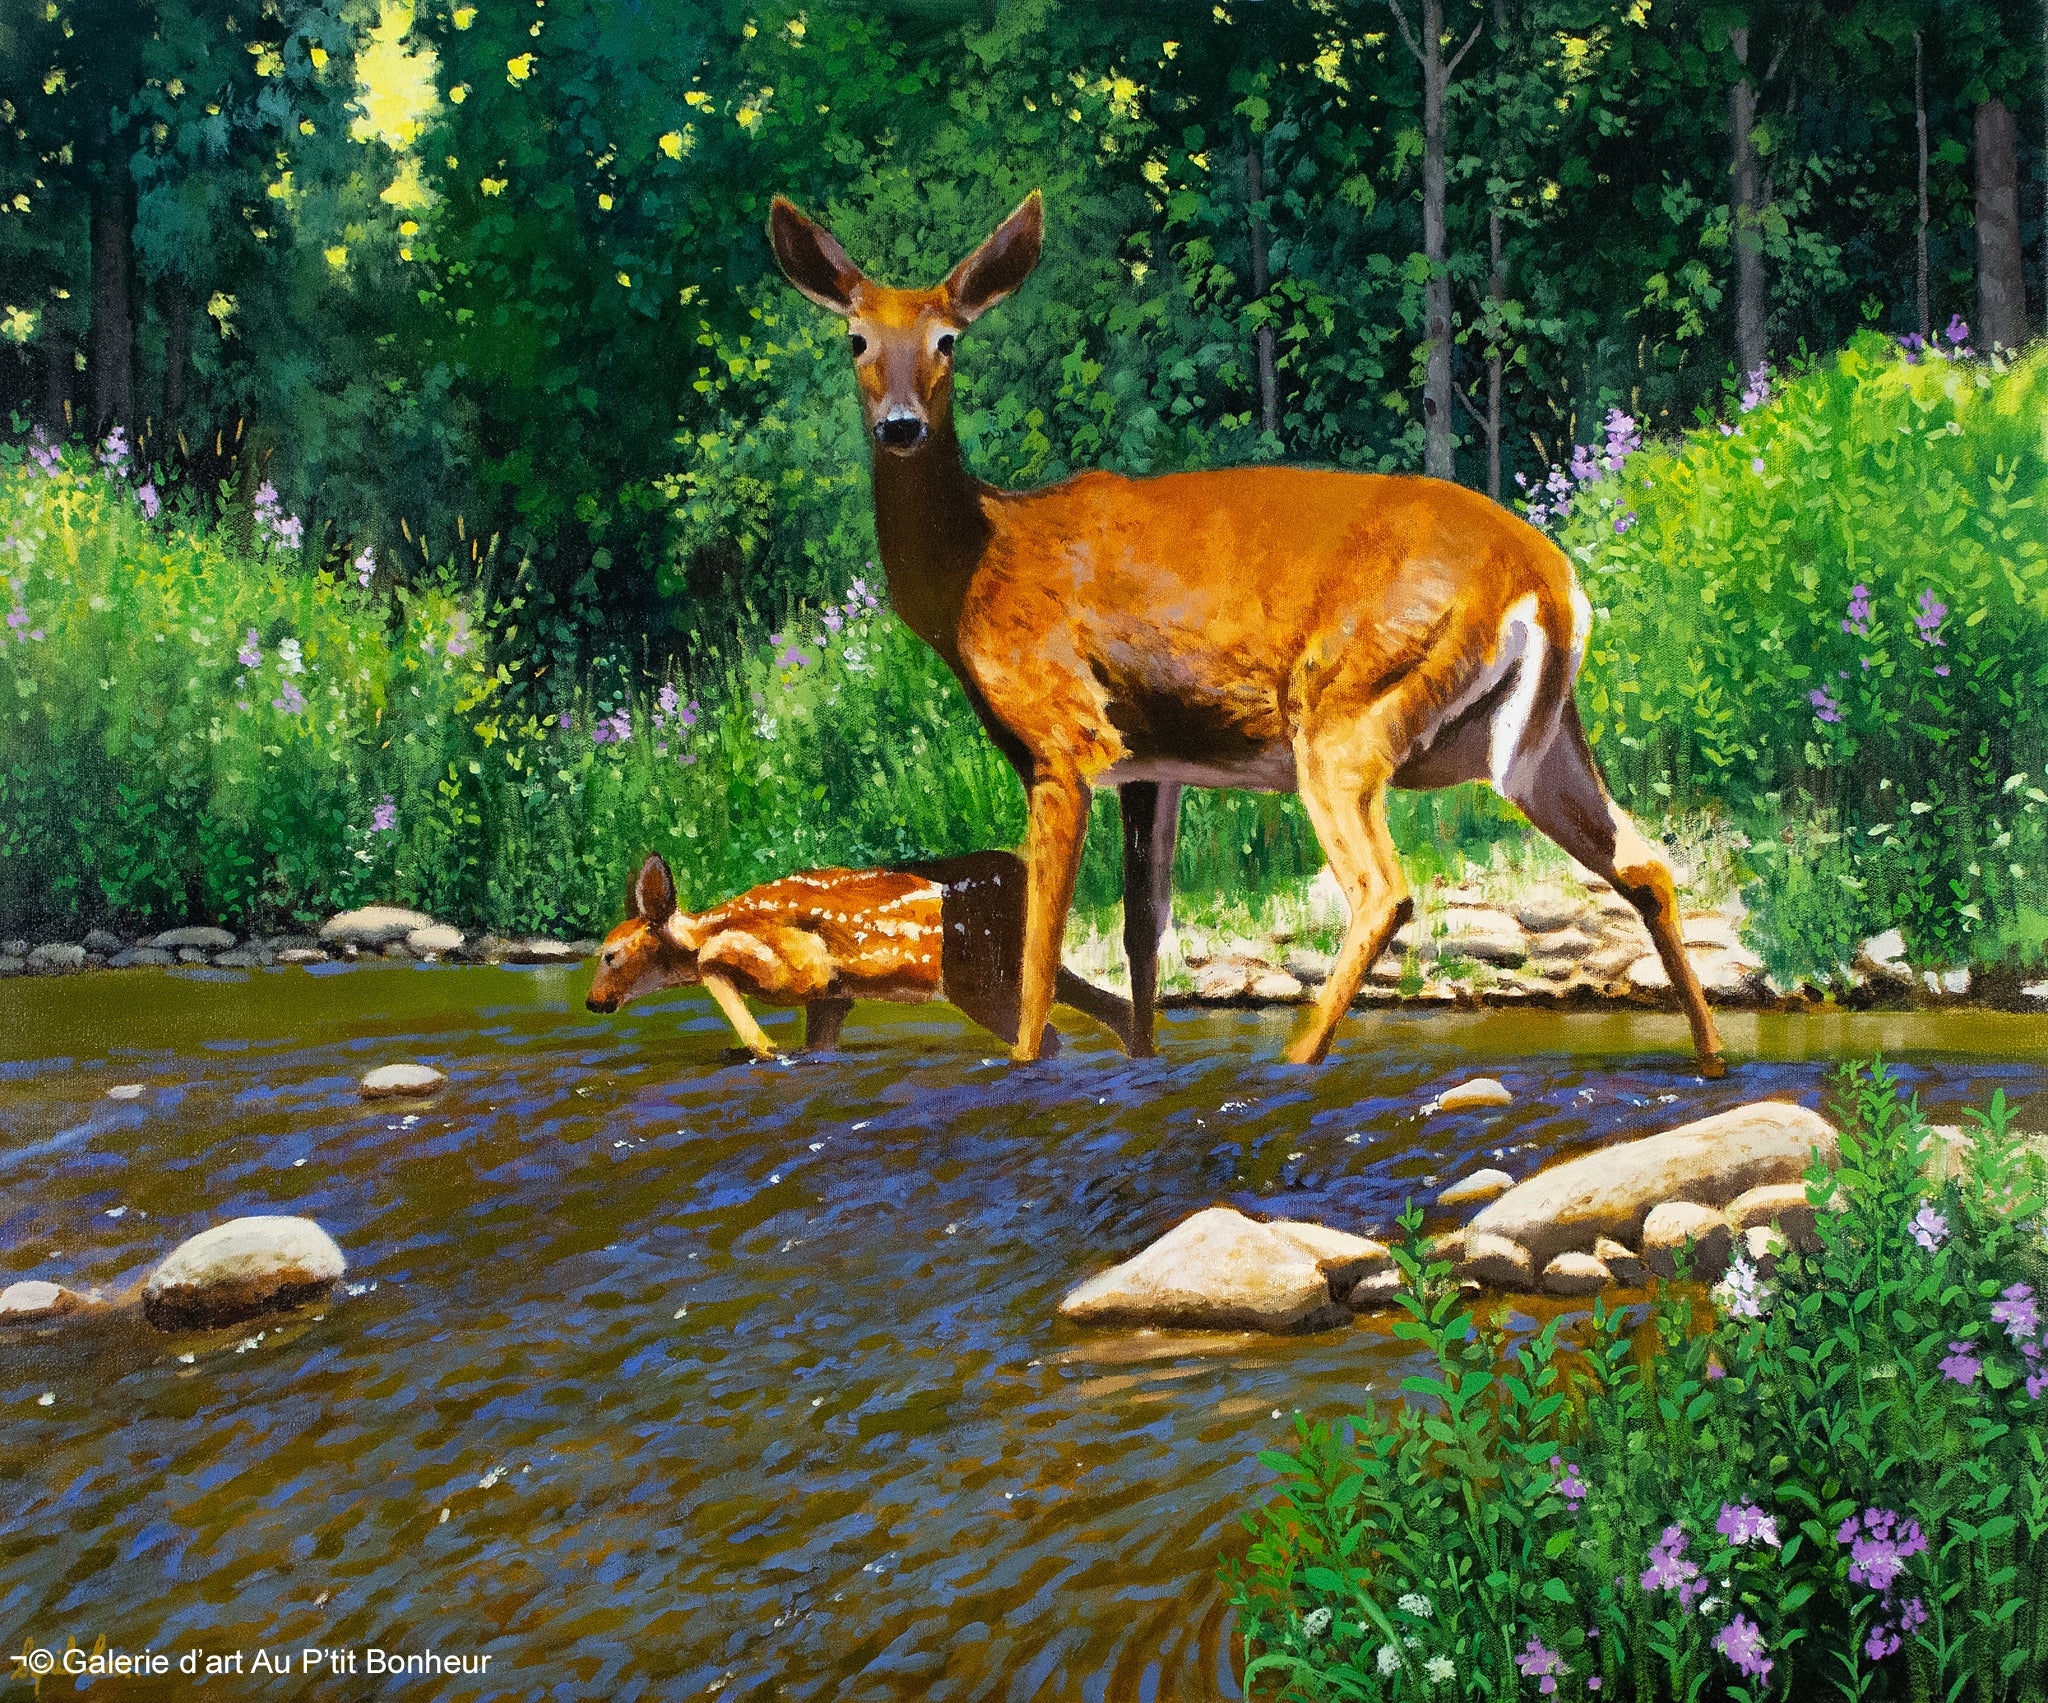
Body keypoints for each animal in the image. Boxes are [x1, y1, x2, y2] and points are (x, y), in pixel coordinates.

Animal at [585, 849, 1133, 1061]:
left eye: (609, 955)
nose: (592, 1002)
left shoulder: (804, 969)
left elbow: (711, 963)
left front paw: (762, 1047)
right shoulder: (832, 995)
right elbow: (820, 1045)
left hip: (978, 979)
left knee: (1048, 1035)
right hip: (1025, 965)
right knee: (1109, 1004)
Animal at [767, 189, 1725, 1077]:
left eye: (948, 342)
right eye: (855, 339)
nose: (899, 424)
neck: (980, 567)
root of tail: (1547, 577)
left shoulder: (1063, 735)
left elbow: (1042, 943)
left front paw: (1028, 1064)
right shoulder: (1148, 762)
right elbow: (1141, 929)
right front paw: (1142, 1060)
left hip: (1347, 707)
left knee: (1384, 889)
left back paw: (1297, 1057)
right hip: (1545, 741)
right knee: (1646, 865)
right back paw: (1712, 1056)